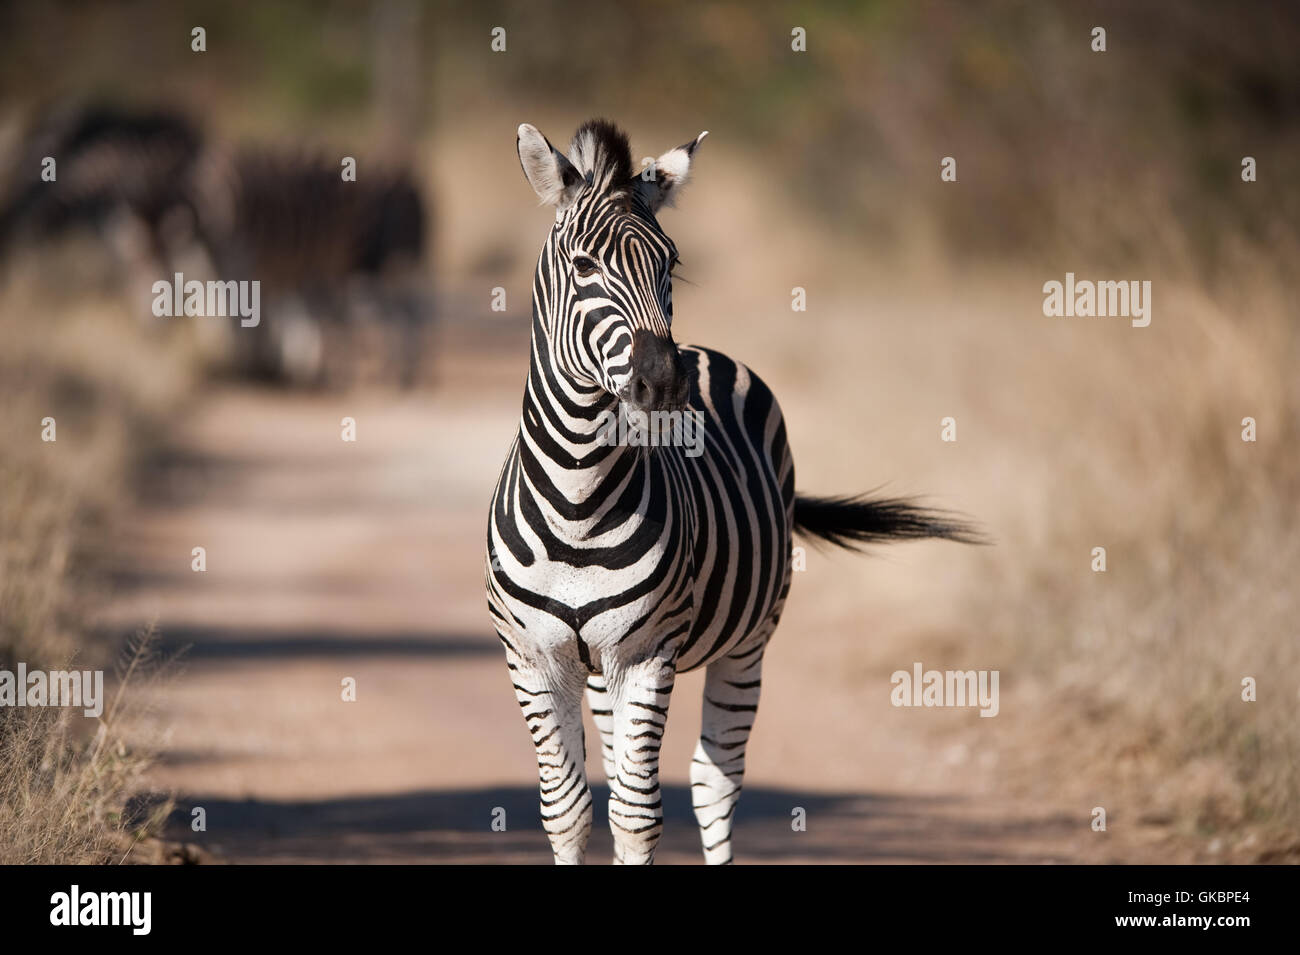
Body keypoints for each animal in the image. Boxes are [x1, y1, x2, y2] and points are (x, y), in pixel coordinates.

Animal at [488, 119, 982, 867]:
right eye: (583, 266)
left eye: (670, 264)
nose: (664, 385)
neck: (577, 498)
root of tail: (707, 353)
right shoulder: (534, 657)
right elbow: (567, 810)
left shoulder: (648, 652)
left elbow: (637, 812)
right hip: (602, 670)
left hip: (748, 641)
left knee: (713, 780)